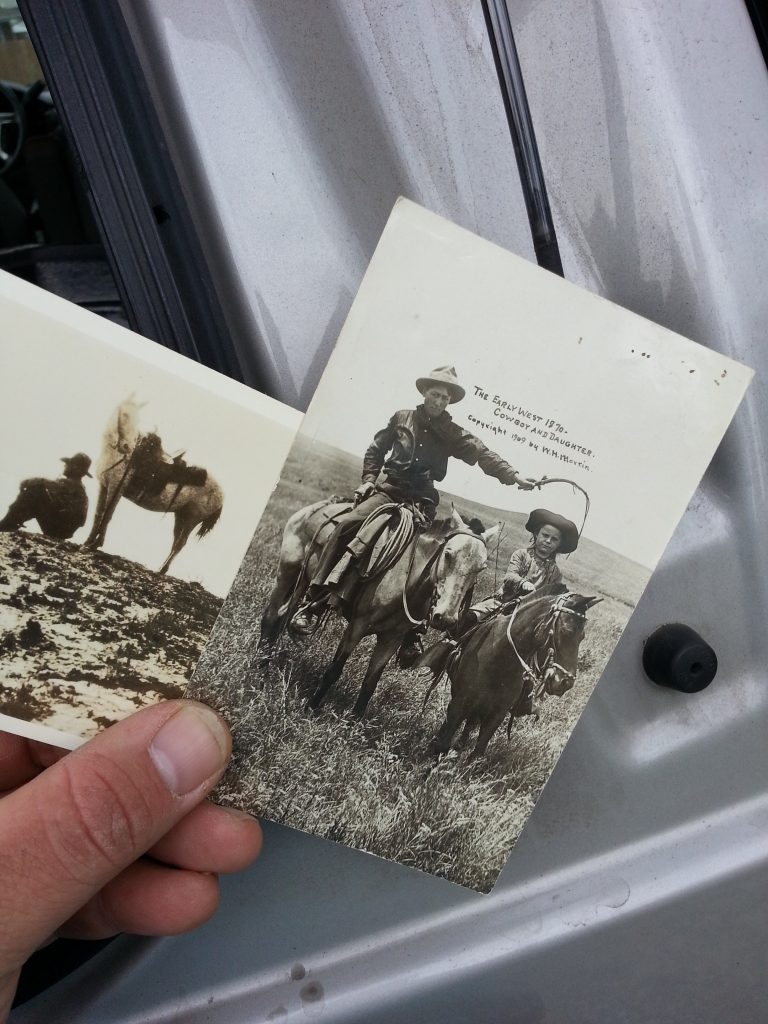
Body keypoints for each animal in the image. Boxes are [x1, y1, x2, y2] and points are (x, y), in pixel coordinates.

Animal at [88, 395, 225, 577]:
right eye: (125, 415)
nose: (127, 446)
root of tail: (222, 495)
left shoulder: (116, 488)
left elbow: (108, 515)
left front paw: (96, 544)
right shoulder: (104, 486)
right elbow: (98, 515)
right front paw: (88, 542)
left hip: (191, 519)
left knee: (180, 544)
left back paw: (162, 570)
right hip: (180, 517)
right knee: (176, 542)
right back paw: (161, 569)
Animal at [260, 499, 499, 716]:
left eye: (481, 567)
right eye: (448, 554)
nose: (446, 618)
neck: (405, 577)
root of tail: (315, 508)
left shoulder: (391, 639)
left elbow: (370, 683)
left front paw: (353, 724)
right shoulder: (357, 626)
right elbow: (334, 670)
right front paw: (310, 709)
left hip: (301, 582)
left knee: (282, 616)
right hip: (287, 572)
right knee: (270, 617)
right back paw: (261, 671)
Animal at [434, 585, 602, 761]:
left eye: (582, 637)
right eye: (566, 631)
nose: (566, 683)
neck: (500, 660)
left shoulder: (496, 715)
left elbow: (477, 753)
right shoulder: (458, 704)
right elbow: (442, 743)